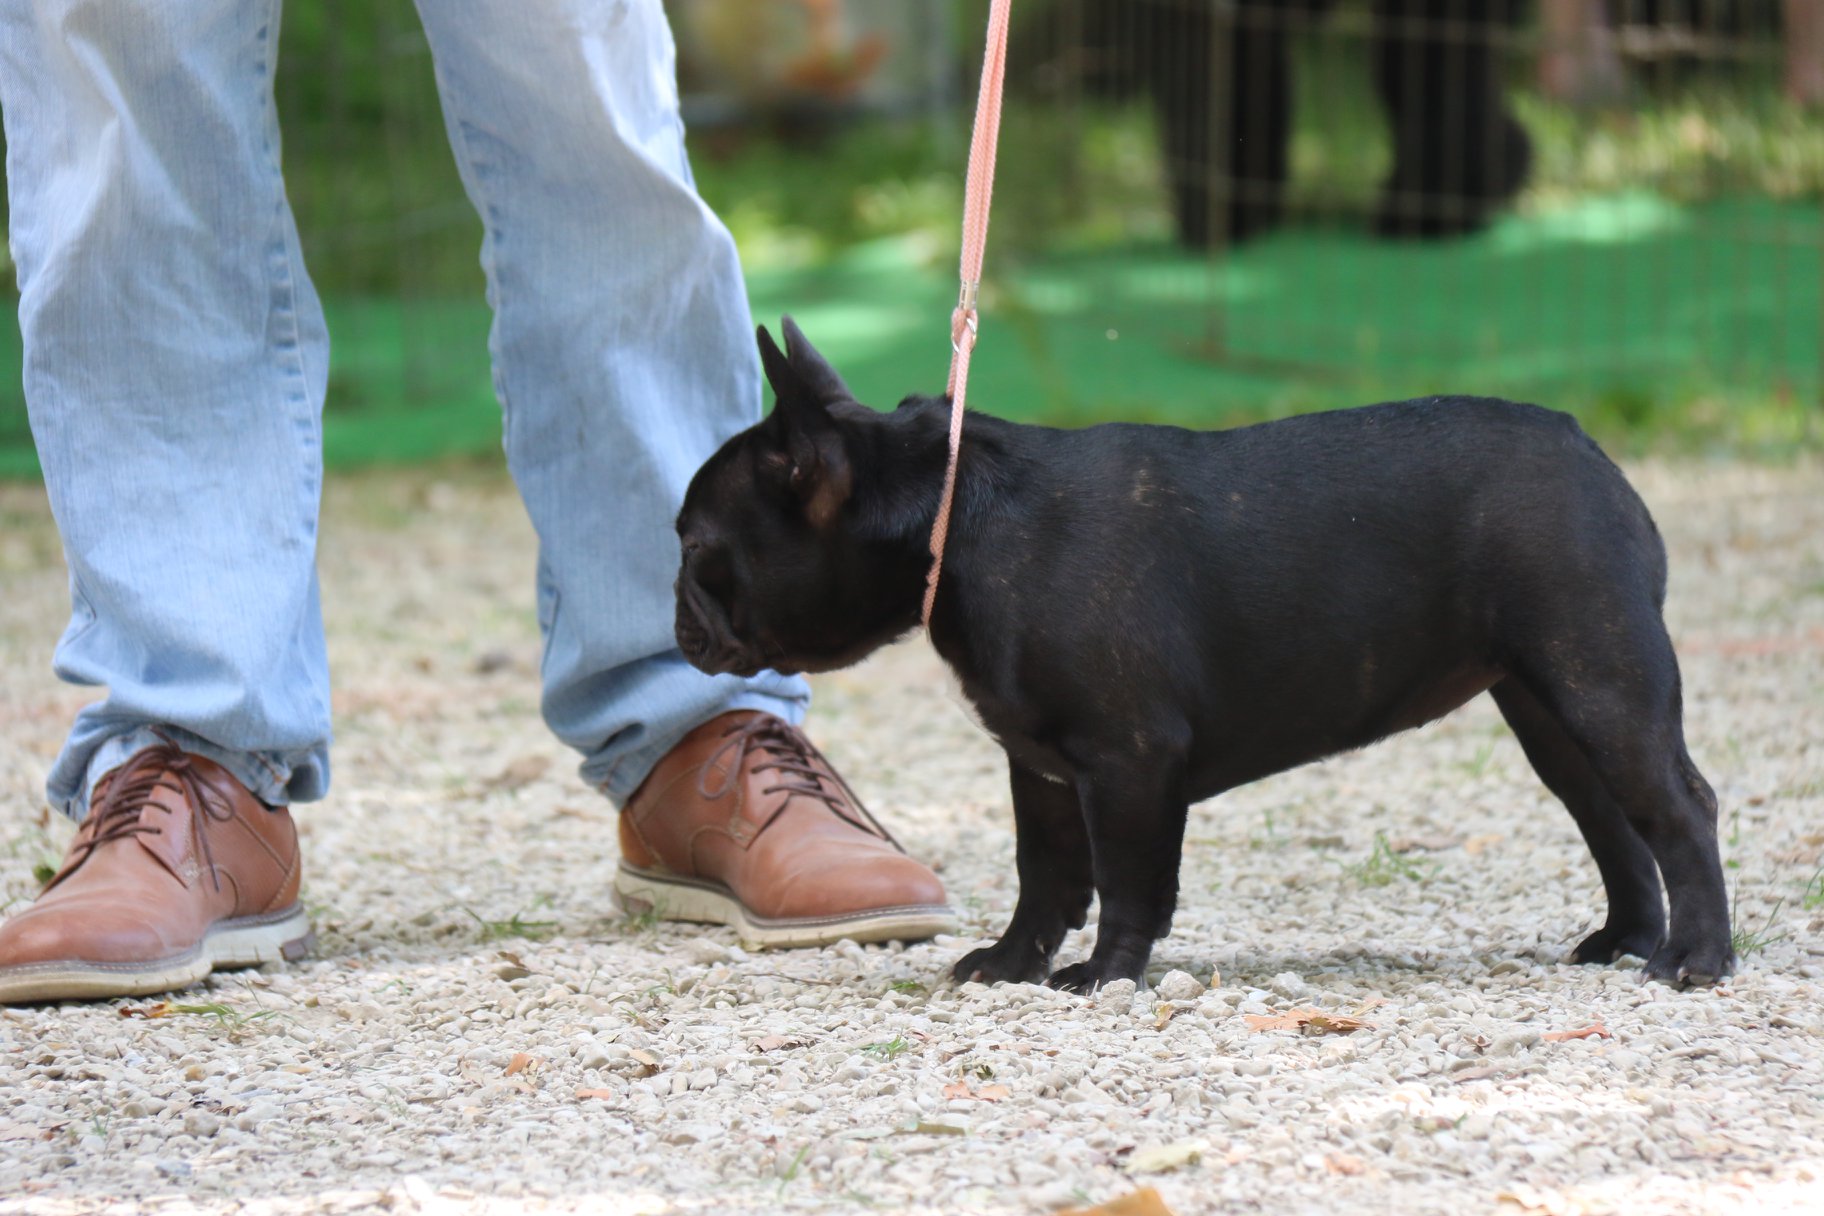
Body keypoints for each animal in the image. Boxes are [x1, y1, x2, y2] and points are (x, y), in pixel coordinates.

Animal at [678, 319, 1729, 991]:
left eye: (694, 546)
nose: (676, 608)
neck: (956, 518)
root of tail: (1586, 448)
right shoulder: (1043, 771)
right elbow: (1045, 876)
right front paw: (1012, 966)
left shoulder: (1127, 761)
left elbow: (1127, 880)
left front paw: (1104, 975)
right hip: (1551, 709)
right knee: (1611, 819)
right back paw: (1627, 941)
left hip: (1600, 680)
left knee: (1679, 807)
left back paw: (1696, 960)